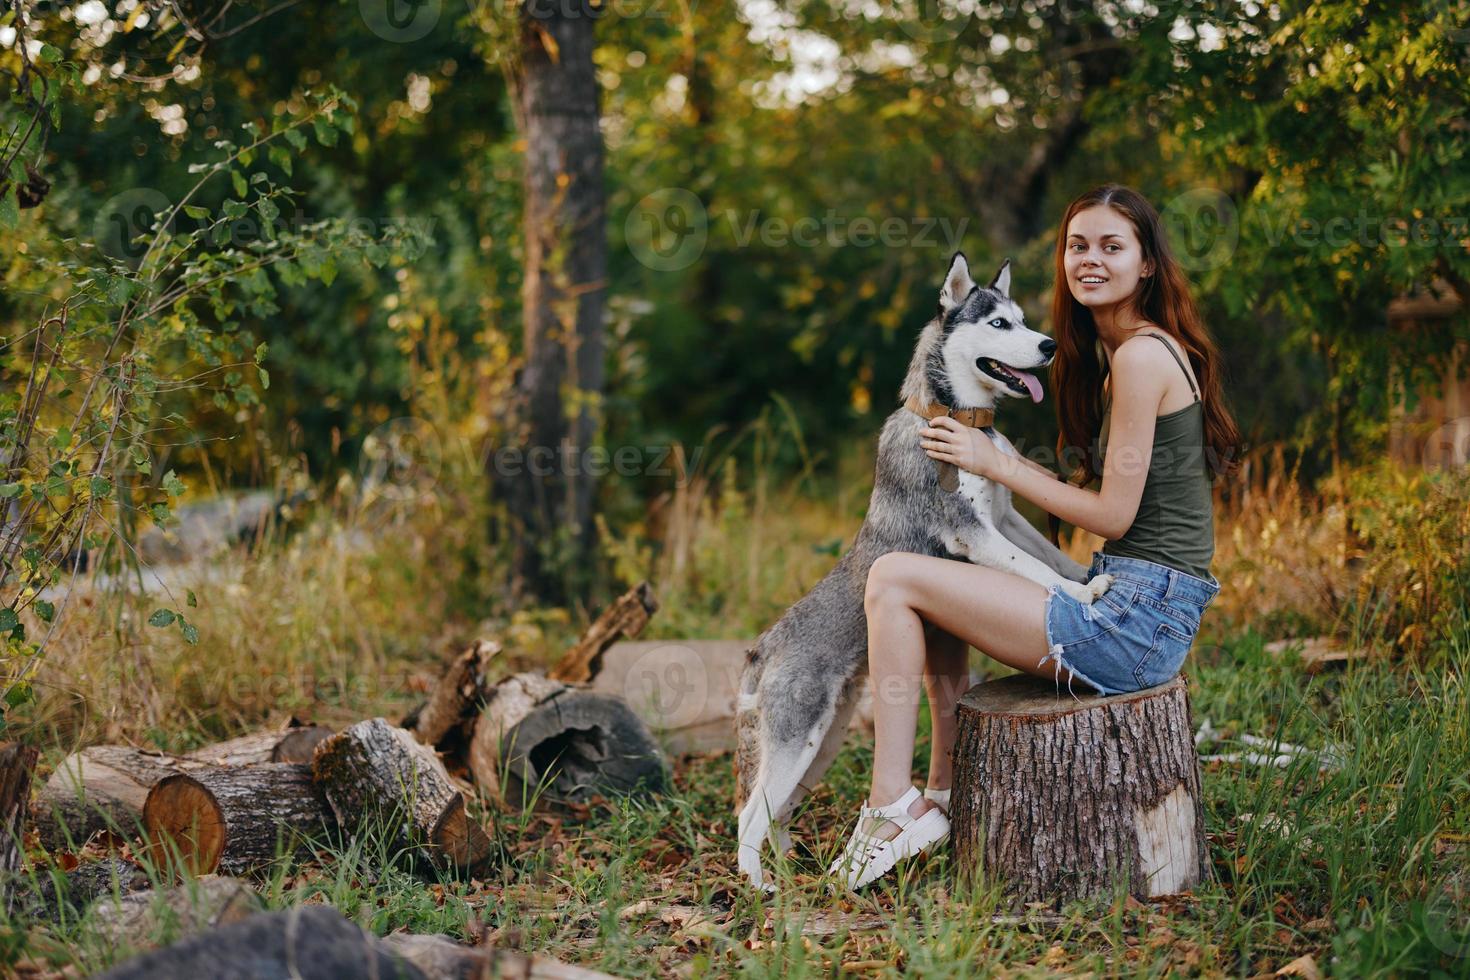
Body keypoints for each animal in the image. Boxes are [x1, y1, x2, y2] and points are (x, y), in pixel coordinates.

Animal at [735, 251, 1111, 887]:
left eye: (1023, 319)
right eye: (999, 324)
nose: (1049, 345)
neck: (959, 420)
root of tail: (765, 647)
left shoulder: (1005, 517)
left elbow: (1050, 555)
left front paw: (1087, 577)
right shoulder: (972, 532)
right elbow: (1035, 572)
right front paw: (1081, 598)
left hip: (821, 743)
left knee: (776, 815)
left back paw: (790, 872)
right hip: (794, 741)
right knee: (748, 818)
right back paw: (763, 891)